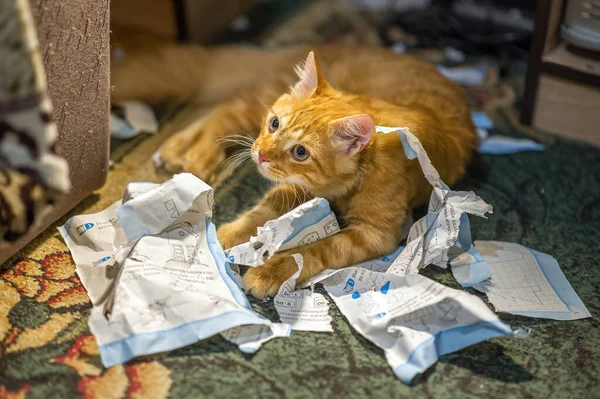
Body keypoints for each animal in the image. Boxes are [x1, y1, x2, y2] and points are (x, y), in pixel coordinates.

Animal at [111, 45, 478, 298]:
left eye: (300, 152)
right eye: (275, 124)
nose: (260, 155)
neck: (344, 186)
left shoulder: (374, 232)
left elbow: (314, 249)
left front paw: (270, 271)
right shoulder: (290, 190)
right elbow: (256, 215)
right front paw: (223, 239)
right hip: (255, 102)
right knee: (227, 108)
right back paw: (191, 153)